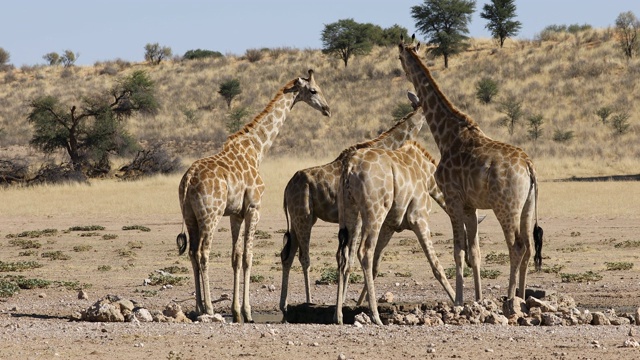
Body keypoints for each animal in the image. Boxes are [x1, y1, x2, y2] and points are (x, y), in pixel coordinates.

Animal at [176, 70, 330, 324]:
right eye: (313, 90)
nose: (327, 109)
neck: (257, 149)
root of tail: (187, 180)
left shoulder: (236, 214)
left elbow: (236, 257)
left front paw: (236, 311)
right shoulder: (254, 208)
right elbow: (248, 256)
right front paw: (247, 312)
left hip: (190, 215)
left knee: (191, 253)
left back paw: (198, 307)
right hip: (211, 214)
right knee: (202, 253)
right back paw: (208, 307)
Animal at [278, 90, 432, 318]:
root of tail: (287, 188)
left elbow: (347, 258)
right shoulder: (359, 217)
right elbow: (349, 258)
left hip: (300, 219)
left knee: (287, 255)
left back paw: (284, 305)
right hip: (303, 217)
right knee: (304, 257)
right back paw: (307, 301)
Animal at [336, 141, 460, 326]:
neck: (427, 175)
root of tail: (350, 166)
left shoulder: (390, 225)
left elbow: (376, 266)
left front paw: (358, 302)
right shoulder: (419, 217)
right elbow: (436, 265)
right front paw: (457, 302)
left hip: (348, 209)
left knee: (343, 256)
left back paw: (338, 316)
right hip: (375, 210)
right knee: (364, 252)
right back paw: (376, 316)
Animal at [398, 36, 544, 312]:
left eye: (399, 57)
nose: (402, 73)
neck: (446, 135)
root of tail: (529, 167)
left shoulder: (453, 199)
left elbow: (458, 251)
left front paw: (458, 301)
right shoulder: (470, 206)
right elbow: (474, 253)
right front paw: (477, 299)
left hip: (505, 206)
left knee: (517, 246)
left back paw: (510, 298)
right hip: (528, 205)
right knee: (529, 247)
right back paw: (522, 297)